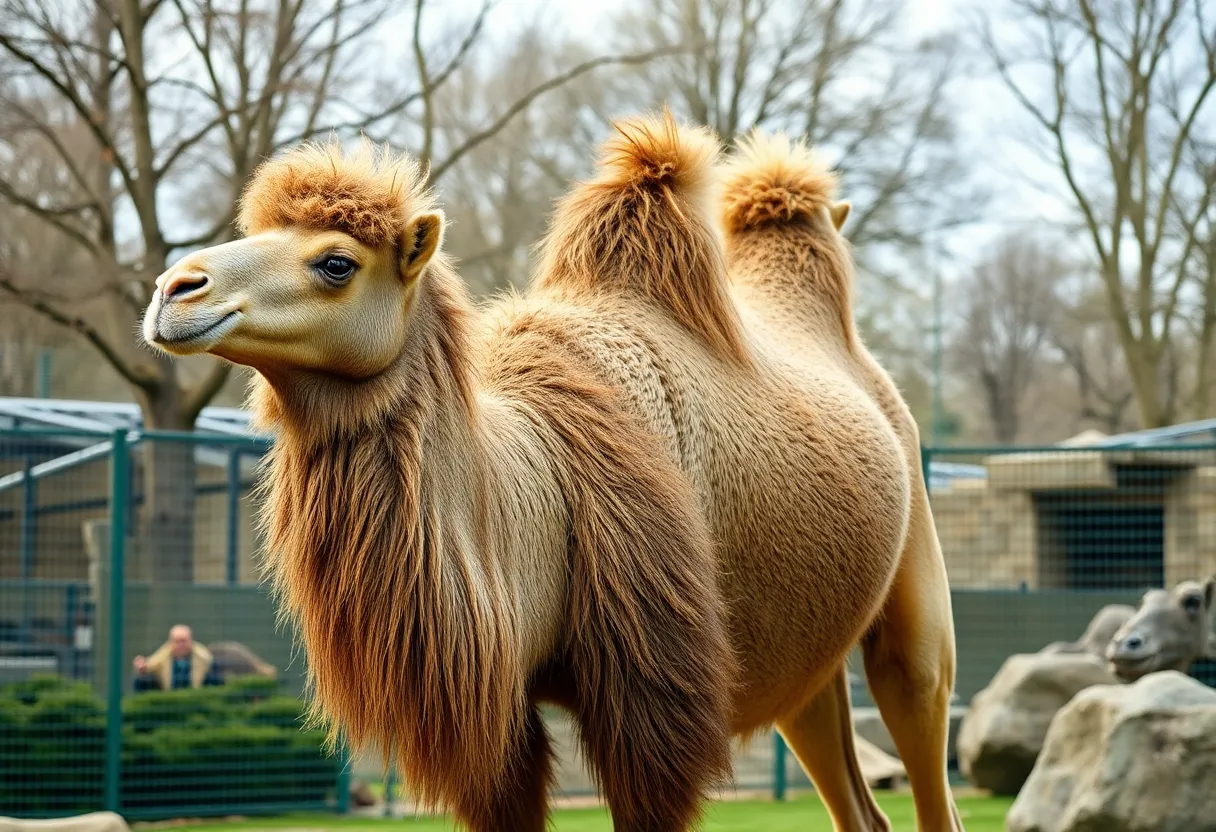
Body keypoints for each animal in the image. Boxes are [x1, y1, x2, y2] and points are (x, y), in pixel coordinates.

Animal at [141, 114, 958, 831]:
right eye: (252, 233)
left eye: (336, 262)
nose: (174, 289)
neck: (534, 487)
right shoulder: (498, 726)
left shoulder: (651, 705)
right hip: (803, 665)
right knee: (857, 801)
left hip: (914, 612)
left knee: (924, 742)